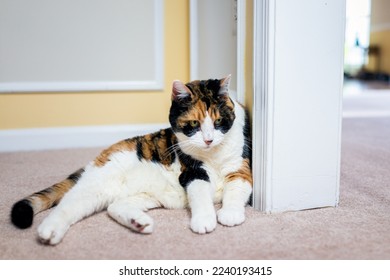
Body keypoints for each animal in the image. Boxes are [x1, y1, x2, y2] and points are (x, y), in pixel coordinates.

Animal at [10, 75, 253, 244]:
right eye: (194, 124)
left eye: (219, 121)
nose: (209, 140)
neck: (213, 156)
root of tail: (99, 158)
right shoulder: (192, 171)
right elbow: (201, 195)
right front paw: (204, 221)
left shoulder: (241, 168)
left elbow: (236, 190)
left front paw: (230, 214)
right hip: (98, 184)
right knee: (68, 204)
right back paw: (48, 232)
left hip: (143, 196)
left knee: (113, 206)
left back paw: (138, 223)